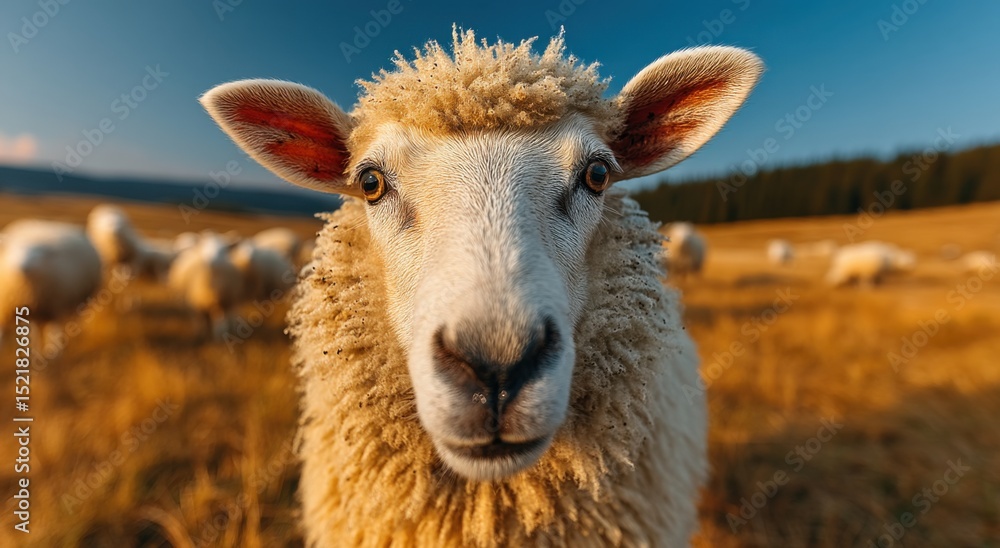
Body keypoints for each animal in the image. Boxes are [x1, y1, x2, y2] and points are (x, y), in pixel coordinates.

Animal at [0, 220, 102, 351]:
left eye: (37, 256)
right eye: (13, 253)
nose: (23, 267)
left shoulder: (55, 307)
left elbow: (54, 334)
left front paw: (55, 352)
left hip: (82, 300)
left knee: (77, 319)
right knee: (36, 329)